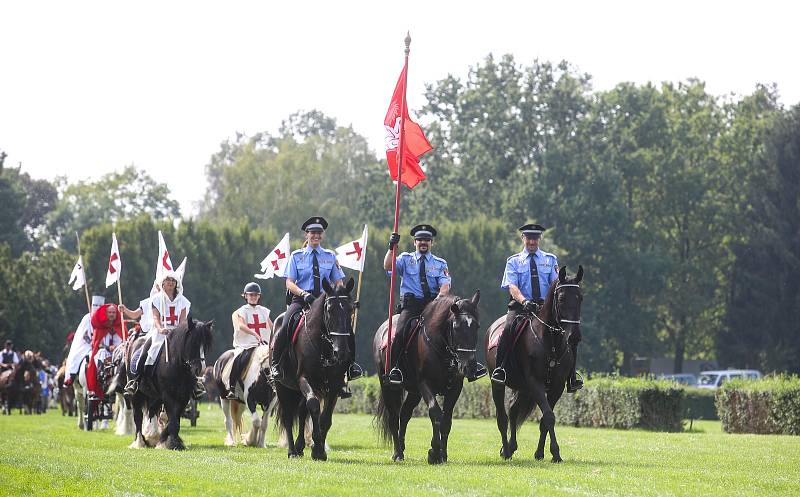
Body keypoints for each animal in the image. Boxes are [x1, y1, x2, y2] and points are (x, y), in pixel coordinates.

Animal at [126, 318, 212, 450]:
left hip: (155, 396)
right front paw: (171, 443)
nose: (200, 369)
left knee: (152, 412)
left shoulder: (183, 397)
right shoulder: (168, 396)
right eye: (194, 342)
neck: (176, 364)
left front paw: (170, 440)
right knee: (138, 417)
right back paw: (139, 442)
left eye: (206, 345)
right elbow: (173, 421)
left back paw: (152, 438)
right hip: (136, 395)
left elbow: (174, 420)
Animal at [276, 278, 356, 460]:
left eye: (350, 309)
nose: (341, 352)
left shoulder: (335, 384)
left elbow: (325, 418)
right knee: (288, 417)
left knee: (301, 411)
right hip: (282, 387)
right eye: (330, 309)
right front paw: (317, 447)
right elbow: (313, 406)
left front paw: (318, 450)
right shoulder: (305, 378)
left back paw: (299, 447)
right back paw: (292, 451)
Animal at [374, 288, 482, 464]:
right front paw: (434, 452)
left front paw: (442, 454)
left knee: (404, 414)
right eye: (456, 327)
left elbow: (447, 420)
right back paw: (397, 453)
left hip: (414, 392)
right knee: (394, 418)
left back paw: (402, 447)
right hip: (388, 387)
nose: (469, 367)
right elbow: (435, 413)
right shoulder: (426, 385)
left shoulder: (455, 388)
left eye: (477, 326)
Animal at [484, 266, 584, 464]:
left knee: (513, 410)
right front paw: (556, 452)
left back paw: (511, 446)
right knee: (502, 417)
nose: (574, 336)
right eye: (561, 298)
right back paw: (506, 451)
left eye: (580, 298)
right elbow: (549, 416)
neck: (550, 342)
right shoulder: (535, 383)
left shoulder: (556, 386)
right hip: (498, 384)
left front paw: (541, 453)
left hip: (523, 388)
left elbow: (546, 419)